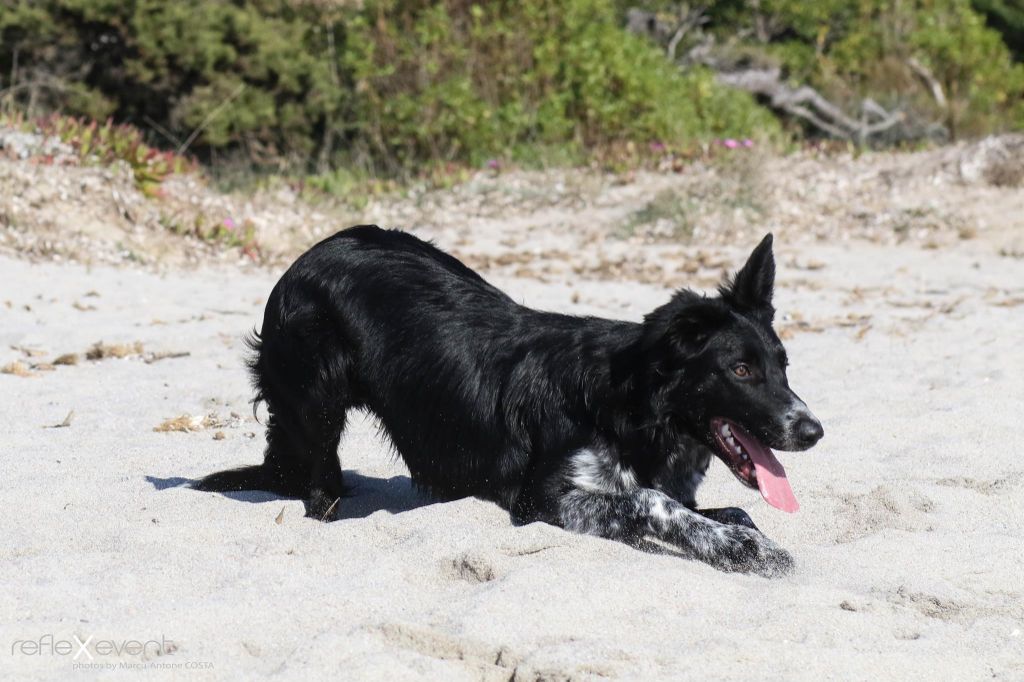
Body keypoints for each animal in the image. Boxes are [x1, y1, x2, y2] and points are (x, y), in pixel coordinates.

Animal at [197, 227, 823, 573]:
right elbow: (654, 502)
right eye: (740, 370)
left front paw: (743, 537)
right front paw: (743, 551)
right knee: (319, 488)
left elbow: (730, 510)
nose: (813, 430)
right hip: (319, 399)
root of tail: (306, 256)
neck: (635, 408)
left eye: (784, 366)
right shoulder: (544, 501)